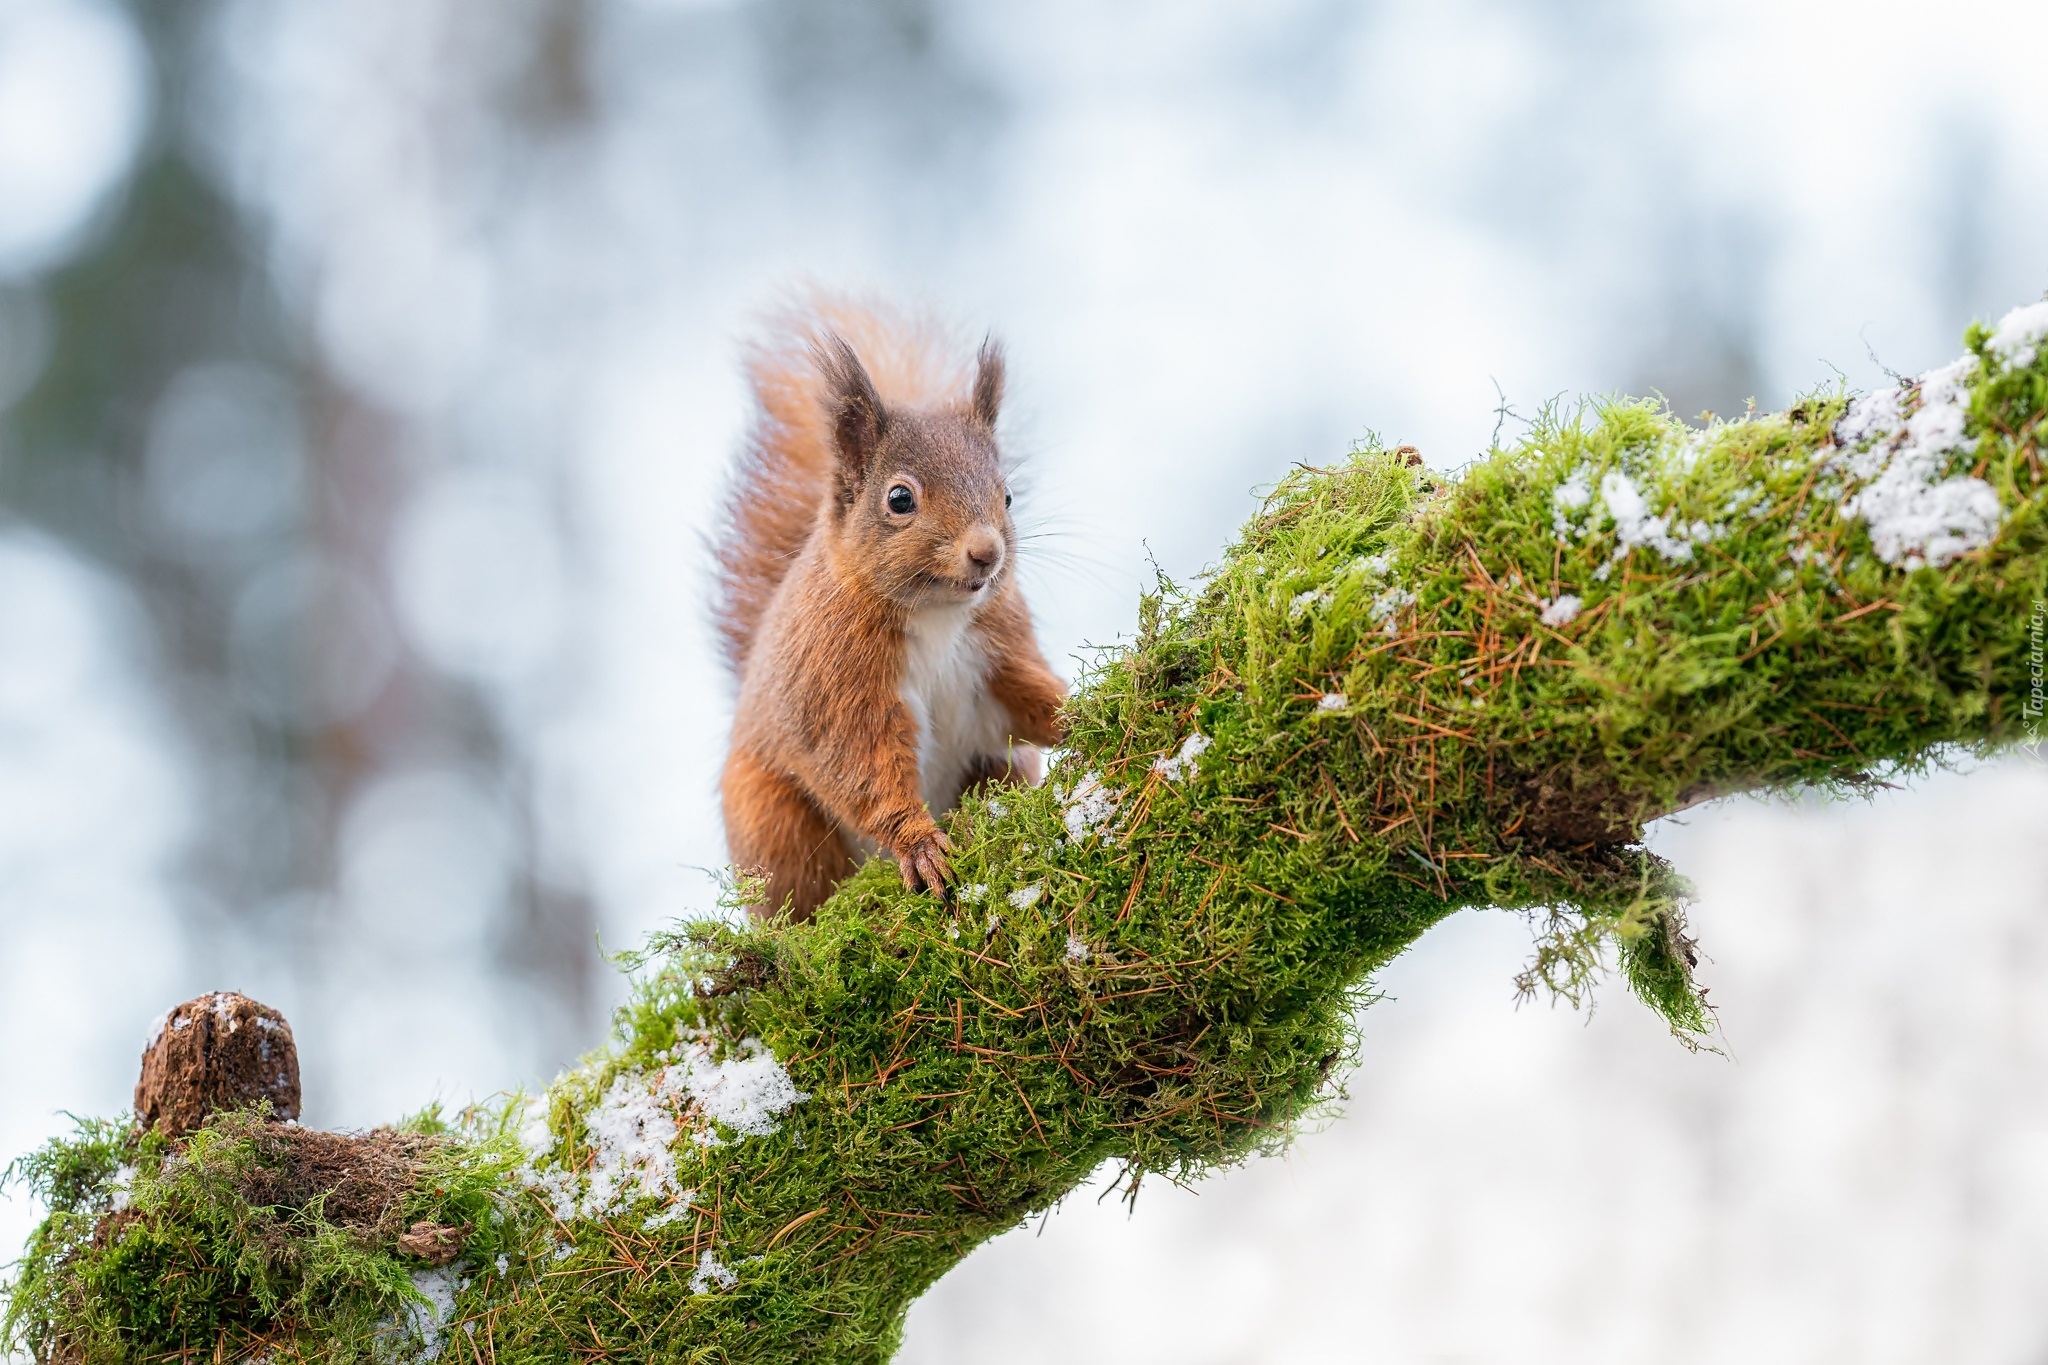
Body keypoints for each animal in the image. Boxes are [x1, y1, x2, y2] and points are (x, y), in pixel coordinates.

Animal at [716, 296, 1073, 916]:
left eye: (1006, 495)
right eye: (900, 499)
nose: (987, 553)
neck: (936, 613)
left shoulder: (998, 648)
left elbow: (1030, 695)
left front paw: (1084, 710)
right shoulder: (834, 679)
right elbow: (860, 766)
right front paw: (921, 845)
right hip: (771, 819)